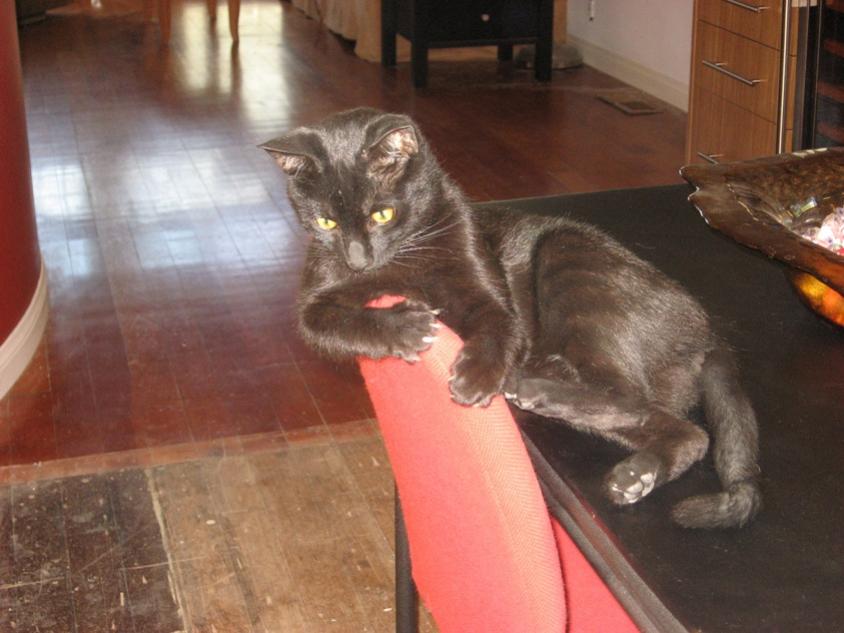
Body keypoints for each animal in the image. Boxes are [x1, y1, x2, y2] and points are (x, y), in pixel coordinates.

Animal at [260, 108, 760, 528]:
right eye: (325, 223)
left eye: (382, 214)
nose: (358, 260)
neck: (402, 262)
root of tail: (707, 330)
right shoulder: (313, 304)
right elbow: (332, 325)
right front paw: (406, 327)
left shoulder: (490, 292)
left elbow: (497, 325)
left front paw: (475, 378)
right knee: (685, 431)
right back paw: (635, 474)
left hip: (567, 257)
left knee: (627, 393)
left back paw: (532, 385)